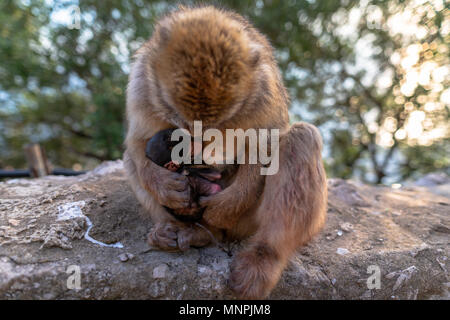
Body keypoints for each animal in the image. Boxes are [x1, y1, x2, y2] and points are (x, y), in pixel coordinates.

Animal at [123, 5, 326, 300]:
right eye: (183, 122)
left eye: (214, 124)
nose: (194, 142)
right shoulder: (141, 84)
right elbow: (137, 142)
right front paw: (163, 185)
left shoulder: (264, 93)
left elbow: (263, 146)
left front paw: (225, 205)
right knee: (130, 160)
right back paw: (186, 232)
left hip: (247, 224)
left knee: (301, 138)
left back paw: (264, 256)